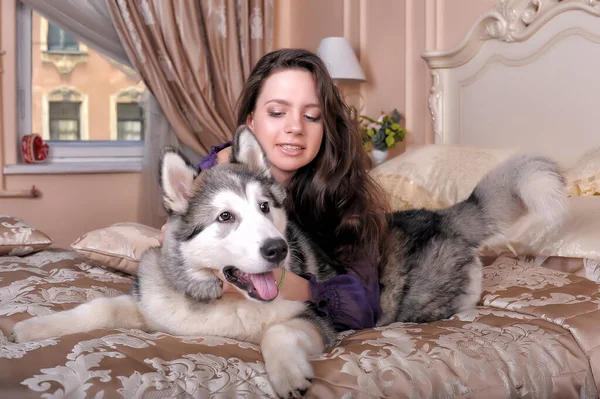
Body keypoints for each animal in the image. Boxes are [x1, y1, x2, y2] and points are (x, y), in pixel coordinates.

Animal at [11, 126, 568, 398]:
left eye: (266, 208)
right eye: (225, 217)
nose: (277, 250)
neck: (222, 303)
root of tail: (438, 213)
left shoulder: (315, 318)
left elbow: (279, 331)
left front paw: (287, 373)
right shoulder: (154, 307)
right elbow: (99, 308)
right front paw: (33, 327)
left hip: (419, 295)